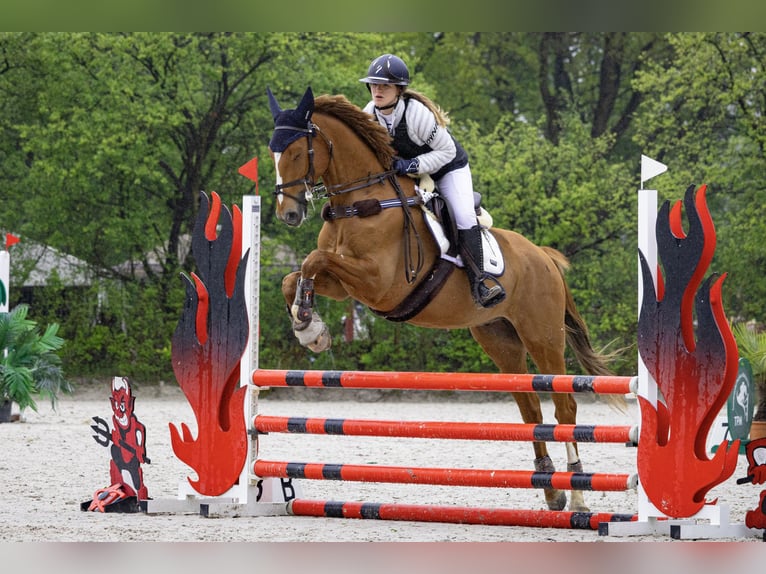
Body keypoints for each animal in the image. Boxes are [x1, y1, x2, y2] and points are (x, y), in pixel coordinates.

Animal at [268, 86, 616, 512]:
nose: (288, 214)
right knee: (530, 407)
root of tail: (544, 257)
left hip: (543, 336)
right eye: (272, 150)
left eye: (296, 151)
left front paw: (309, 325)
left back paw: (579, 493)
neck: (361, 201)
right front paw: (309, 327)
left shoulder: (378, 283)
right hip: (500, 338)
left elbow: (313, 260)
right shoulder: (344, 283)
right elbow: (295, 275)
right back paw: (551, 489)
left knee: (564, 406)